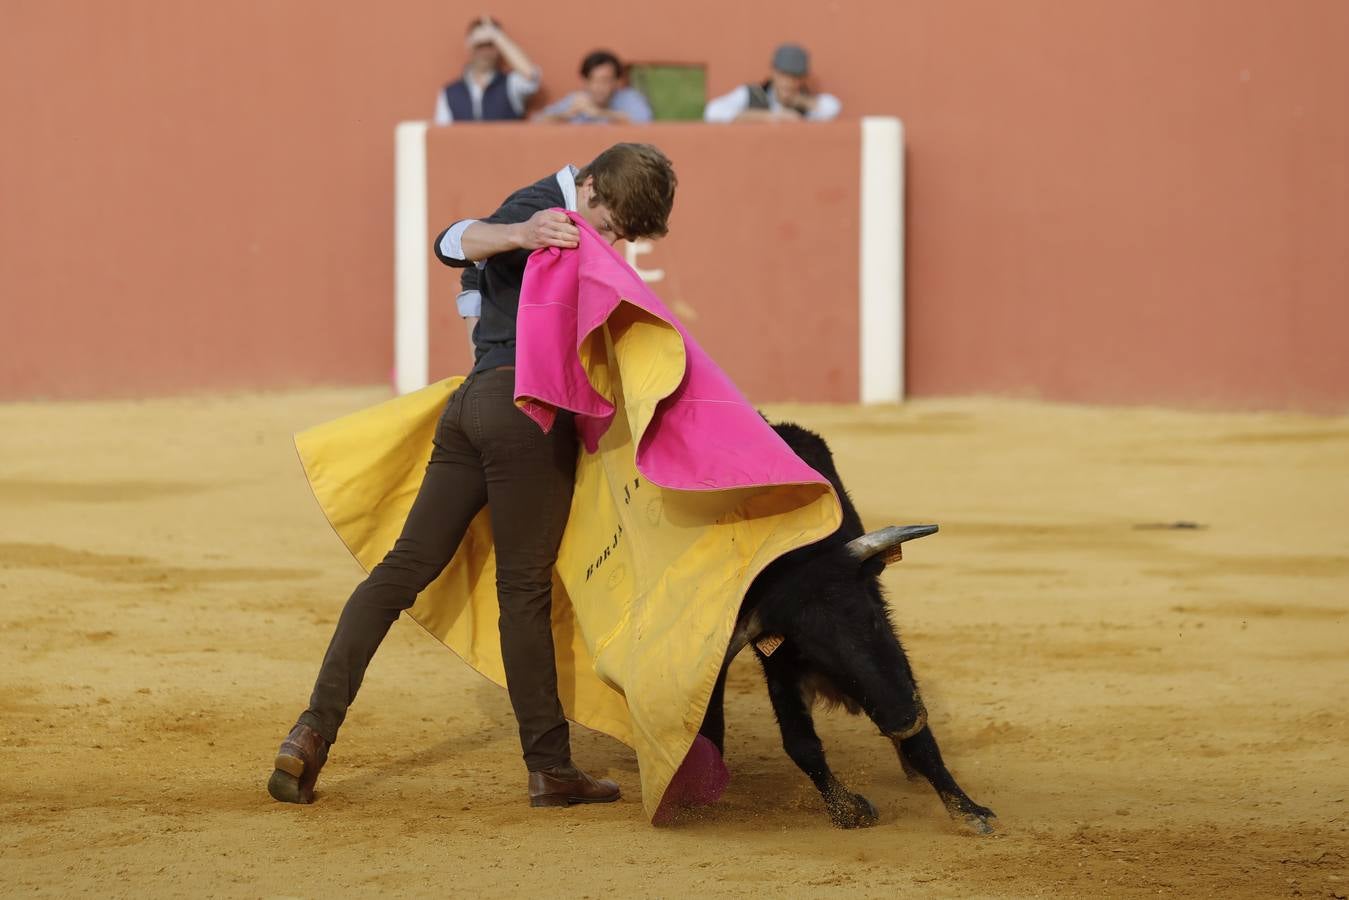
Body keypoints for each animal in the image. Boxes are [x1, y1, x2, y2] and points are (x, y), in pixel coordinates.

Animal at [701, 420, 998, 831]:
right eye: (812, 650)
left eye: (870, 619)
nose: (902, 721)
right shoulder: (778, 657)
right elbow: (801, 745)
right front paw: (849, 810)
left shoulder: (889, 646)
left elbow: (921, 737)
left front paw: (969, 812)